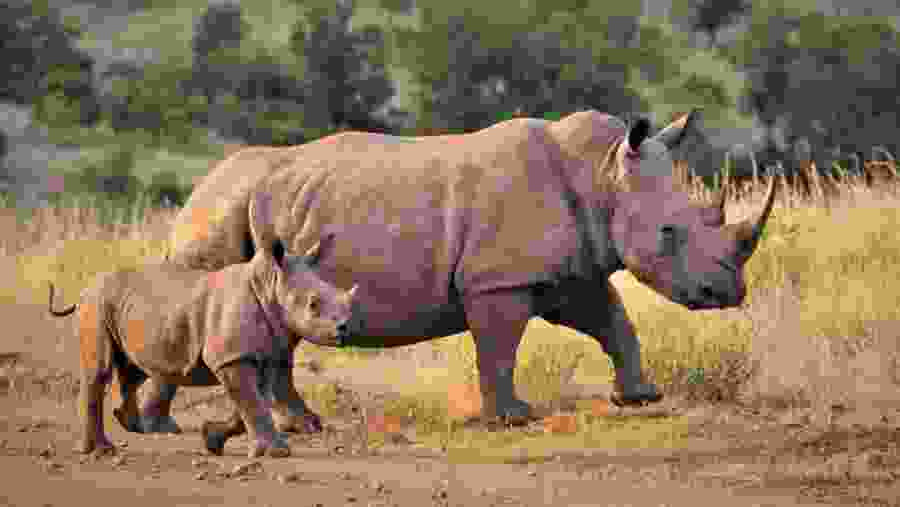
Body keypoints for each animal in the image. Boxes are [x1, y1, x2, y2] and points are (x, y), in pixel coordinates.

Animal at [48, 211, 358, 457]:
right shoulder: (231, 356)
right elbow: (251, 401)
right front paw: (277, 452)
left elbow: (253, 401)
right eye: (313, 304)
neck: (269, 284)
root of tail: (85, 289)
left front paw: (212, 439)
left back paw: (129, 424)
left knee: (134, 368)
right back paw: (100, 451)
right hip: (97, 303)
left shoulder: (259, 352)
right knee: (100, 370)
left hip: (120, 305)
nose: (344, 328)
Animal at [139, 108, 775, 432]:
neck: (603, 174)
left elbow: (612, 320)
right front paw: (513, 419)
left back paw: (300, 426)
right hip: (220, 212)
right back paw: (159, 428)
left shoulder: (569, 271)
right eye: (669, 233)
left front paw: (639, 398)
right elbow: (499, 346)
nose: (728, 290)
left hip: (257, 215)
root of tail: (196, 190)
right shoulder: (499, 279)